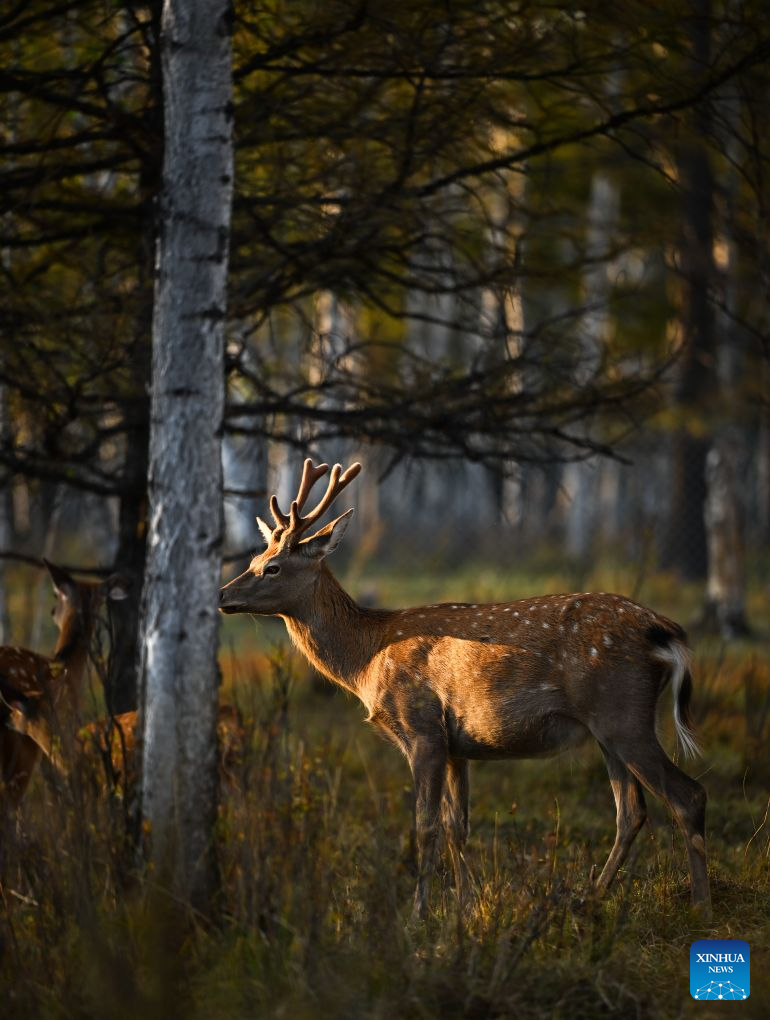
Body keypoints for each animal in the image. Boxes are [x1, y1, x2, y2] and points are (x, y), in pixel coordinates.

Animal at [219, 459, 711, 920]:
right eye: (252, 561)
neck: (367, 660)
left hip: (623, 713)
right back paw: (588, 899)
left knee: (686, 796)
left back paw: (698, 904)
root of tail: (662, 630)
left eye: (271, 567)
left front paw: (418, 915)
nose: (223, 595)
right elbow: (459, 826)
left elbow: (426, 826)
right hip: (607, 728)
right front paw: (466, 909)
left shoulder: (422, 729)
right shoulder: (458, 745)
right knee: (631, 811)